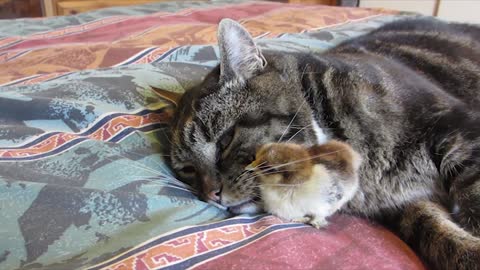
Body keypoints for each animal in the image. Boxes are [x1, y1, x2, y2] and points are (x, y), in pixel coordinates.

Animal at [169, 17, 480, 268]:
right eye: (188, 170)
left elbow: (473, 194)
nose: (211, 194)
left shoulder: (456, 127)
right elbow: (436, 234)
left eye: (225, 140)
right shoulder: (404, 204)